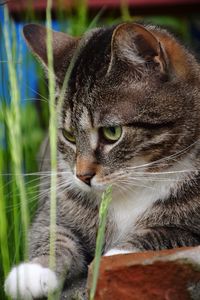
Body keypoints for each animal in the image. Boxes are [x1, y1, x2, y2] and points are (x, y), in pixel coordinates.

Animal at [4, 20, 200, 298]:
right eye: (69, 135)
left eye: (112, 132)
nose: (82, 176)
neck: (134, 186)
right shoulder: (57, 203)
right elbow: (52, 232)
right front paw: (32, 273)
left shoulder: (191, 230)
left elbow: (164, 234)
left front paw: (114, 259)